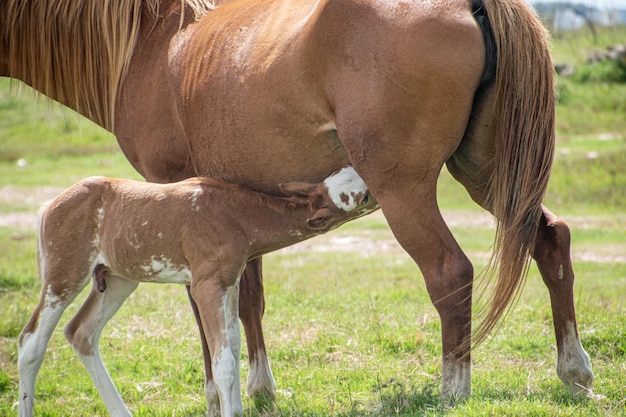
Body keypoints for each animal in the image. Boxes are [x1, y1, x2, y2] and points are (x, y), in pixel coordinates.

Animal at [18, 166, 370, 416]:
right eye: (361, 197)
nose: (374, 188)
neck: (238, 215)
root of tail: (48, 208)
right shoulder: (205, 285)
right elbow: (223, 362)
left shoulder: (229, 282)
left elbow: (232, 346)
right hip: (65, 273)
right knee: (31, 341)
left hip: (118, 279)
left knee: (81, 332)